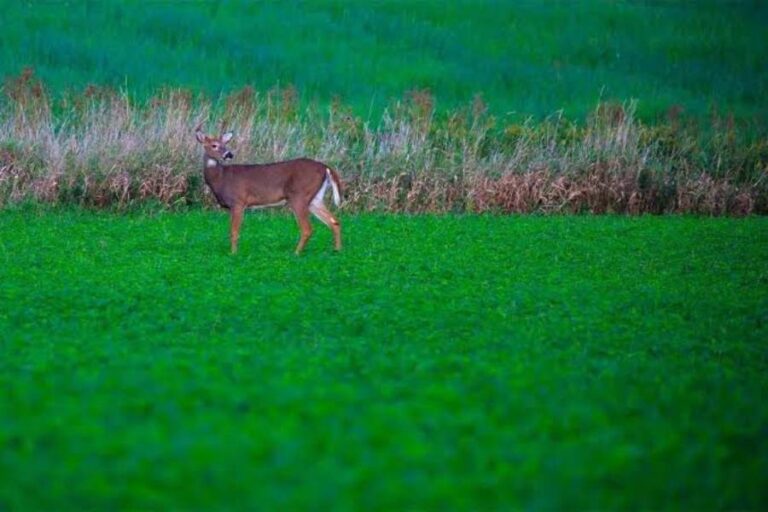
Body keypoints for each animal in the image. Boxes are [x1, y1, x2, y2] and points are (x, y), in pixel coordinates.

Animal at [194, 124, 343, 255]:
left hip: (299, 195)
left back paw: (296, 253)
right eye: (214, 145)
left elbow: (234, 231)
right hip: (315, 198)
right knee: (334, 222)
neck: (221, 178)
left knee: (307, 228)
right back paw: (336, 250)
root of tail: (325, 167)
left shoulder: (238, 201)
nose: (229, 154)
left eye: (224, 144)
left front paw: (233, 253)